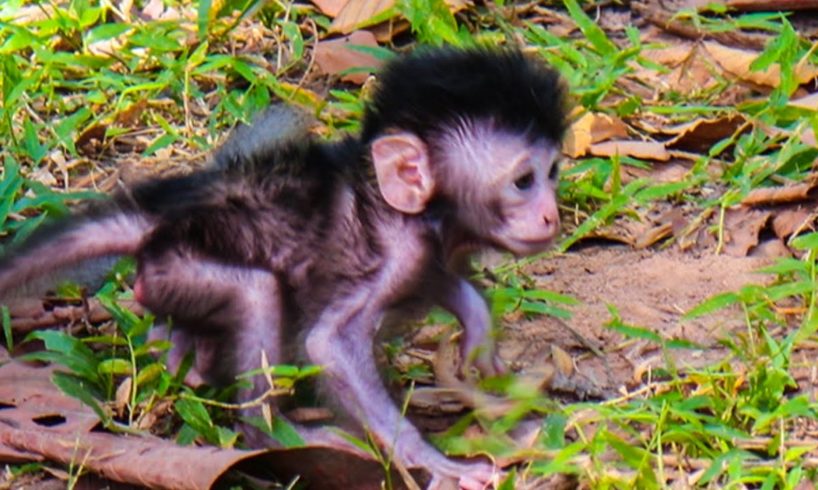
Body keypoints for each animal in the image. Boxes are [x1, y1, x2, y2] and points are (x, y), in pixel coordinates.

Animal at [0, 47, 564, 488]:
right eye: (523, 181)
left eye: (553, 172)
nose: (550, 214)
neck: (401, 208)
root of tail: (171, 217)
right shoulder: (396, 250)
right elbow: (329, 345)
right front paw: (432, 459)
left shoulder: (423, 253)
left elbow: (443, 280)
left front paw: (482, 341)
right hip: (179, 267)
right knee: (256, 292)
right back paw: (268, 430)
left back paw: (182, 354)